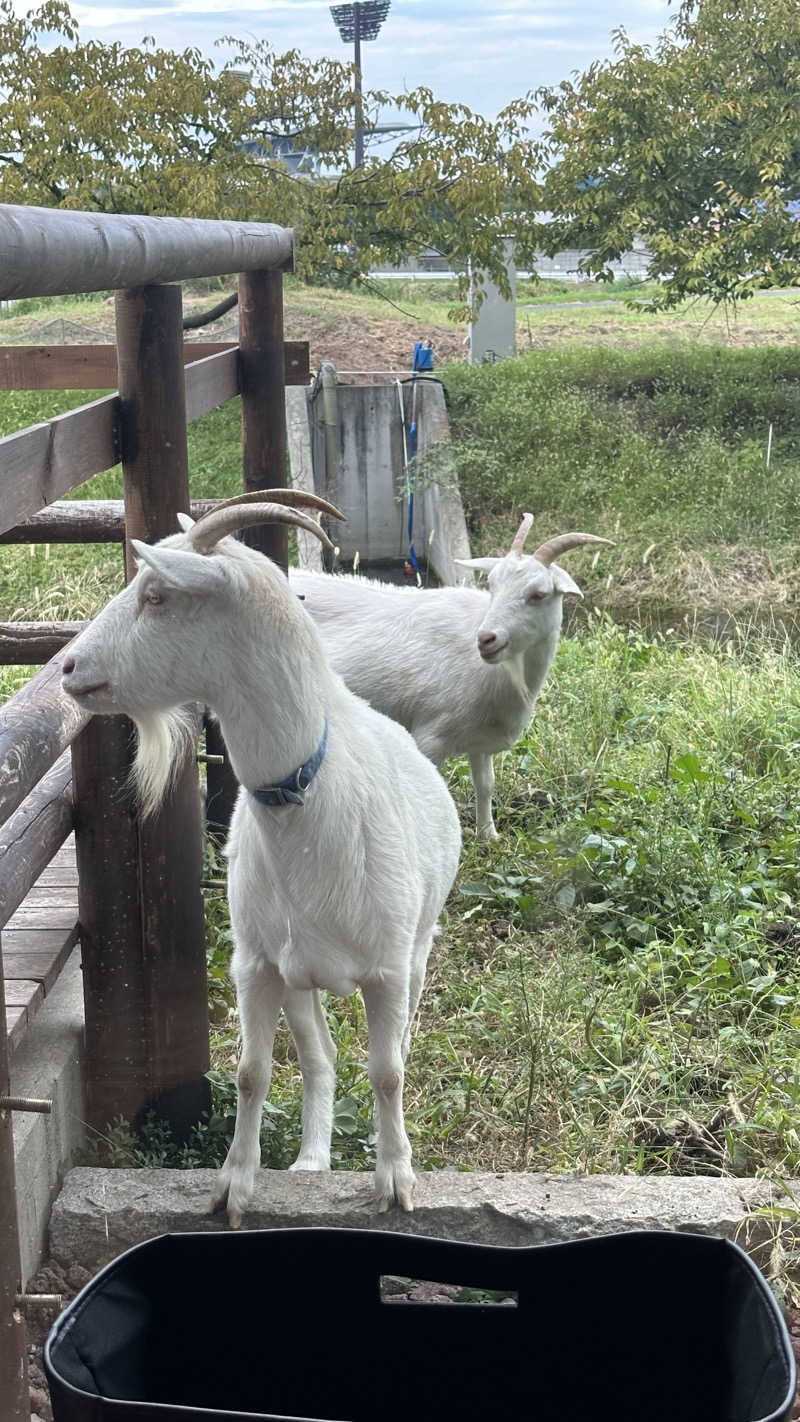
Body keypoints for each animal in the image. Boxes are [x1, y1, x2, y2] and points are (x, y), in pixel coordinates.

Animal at [292, 520, 613, 830]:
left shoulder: (481, 740)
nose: (486, 639)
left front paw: (488, 835)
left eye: (538, 595)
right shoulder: (429, 739)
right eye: (492, 585)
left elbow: (485, 785)